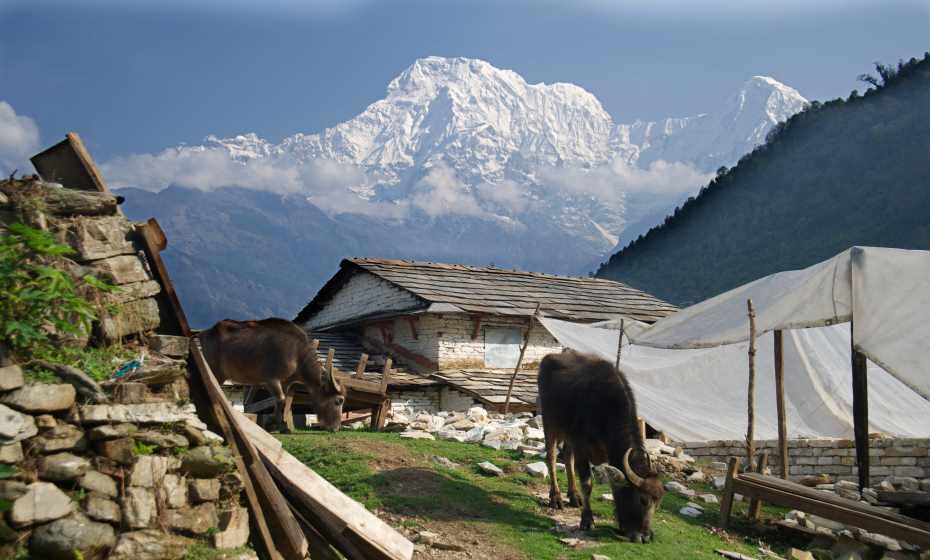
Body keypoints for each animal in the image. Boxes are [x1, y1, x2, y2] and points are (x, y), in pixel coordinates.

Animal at [198, 318, 344, 430]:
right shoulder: (271, 379)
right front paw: (271, 424)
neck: (297, 354)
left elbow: (282, 402)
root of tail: (205, 333)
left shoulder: (285, 383)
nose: (336, 427)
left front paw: (281, 425)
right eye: (339, 400)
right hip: (214, 370)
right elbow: (280, 399)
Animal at [532, 350, 664, 544]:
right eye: (643, 500)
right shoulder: (581, 446)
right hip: (550, 423)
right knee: (552, 457)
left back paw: (573, 496)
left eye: (658, 502)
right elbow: (587, 483)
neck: (606, 409)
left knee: (568, 457)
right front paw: (587, 520)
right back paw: (556, 498)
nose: (645, 536)